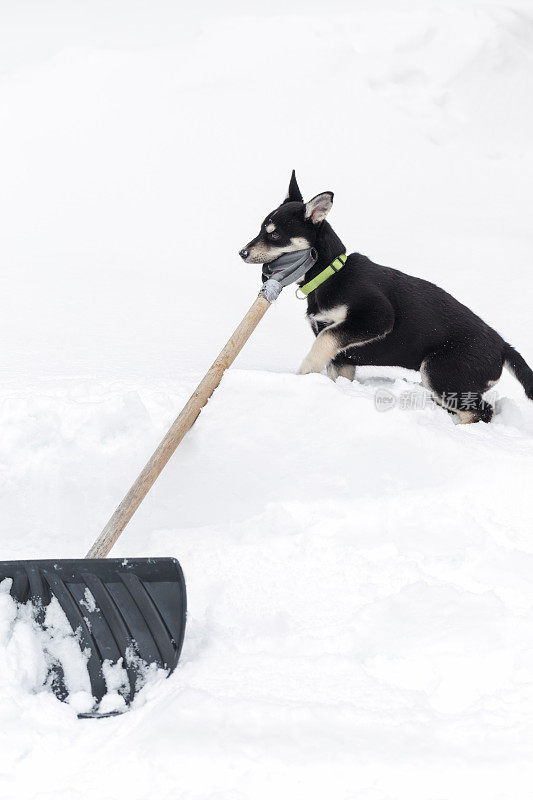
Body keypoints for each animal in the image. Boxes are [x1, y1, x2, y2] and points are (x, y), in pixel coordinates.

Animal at [241, 171, 532, 422]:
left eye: (276, 235)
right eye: (261, 229)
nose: (242, 253)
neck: (331, 275)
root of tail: (503, 346)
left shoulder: (376, 317)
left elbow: (323, 340)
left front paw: (302, 375)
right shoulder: (342, 358)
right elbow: (331, 357)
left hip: (441, 372)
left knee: (481, 412)